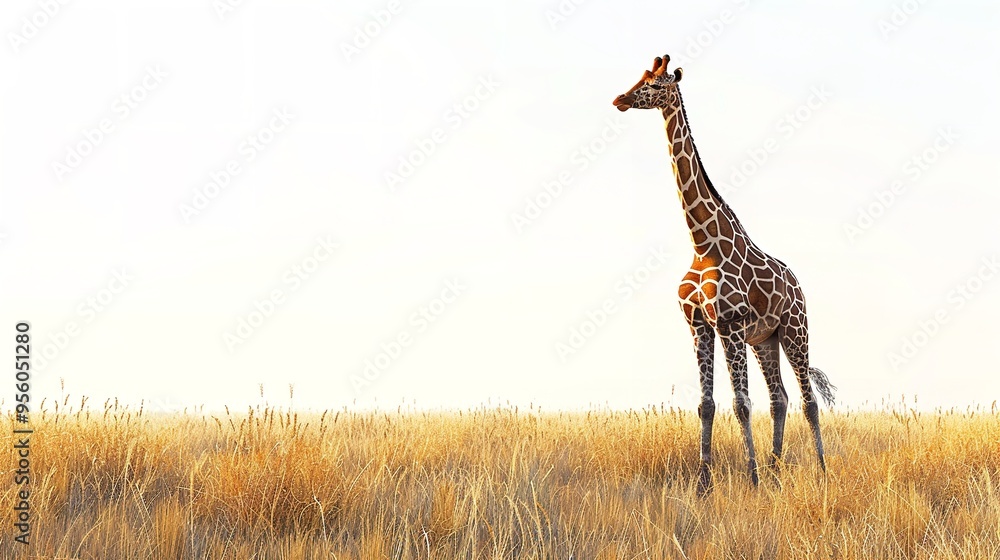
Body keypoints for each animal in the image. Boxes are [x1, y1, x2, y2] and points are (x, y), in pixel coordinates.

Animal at [613, 55, 836, 494]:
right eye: (640, 77)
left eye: (656, 85)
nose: (620, 99)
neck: (702, 244)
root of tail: (798, 285)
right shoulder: (699, 324)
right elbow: (707, 404)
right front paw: (704, 483)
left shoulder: (729, 324)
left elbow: (741, 404)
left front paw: (751, 479)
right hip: (765, 340)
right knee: (780, 398)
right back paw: (776, 470)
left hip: (794, 330)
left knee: (808, 400)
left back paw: (819, 471)